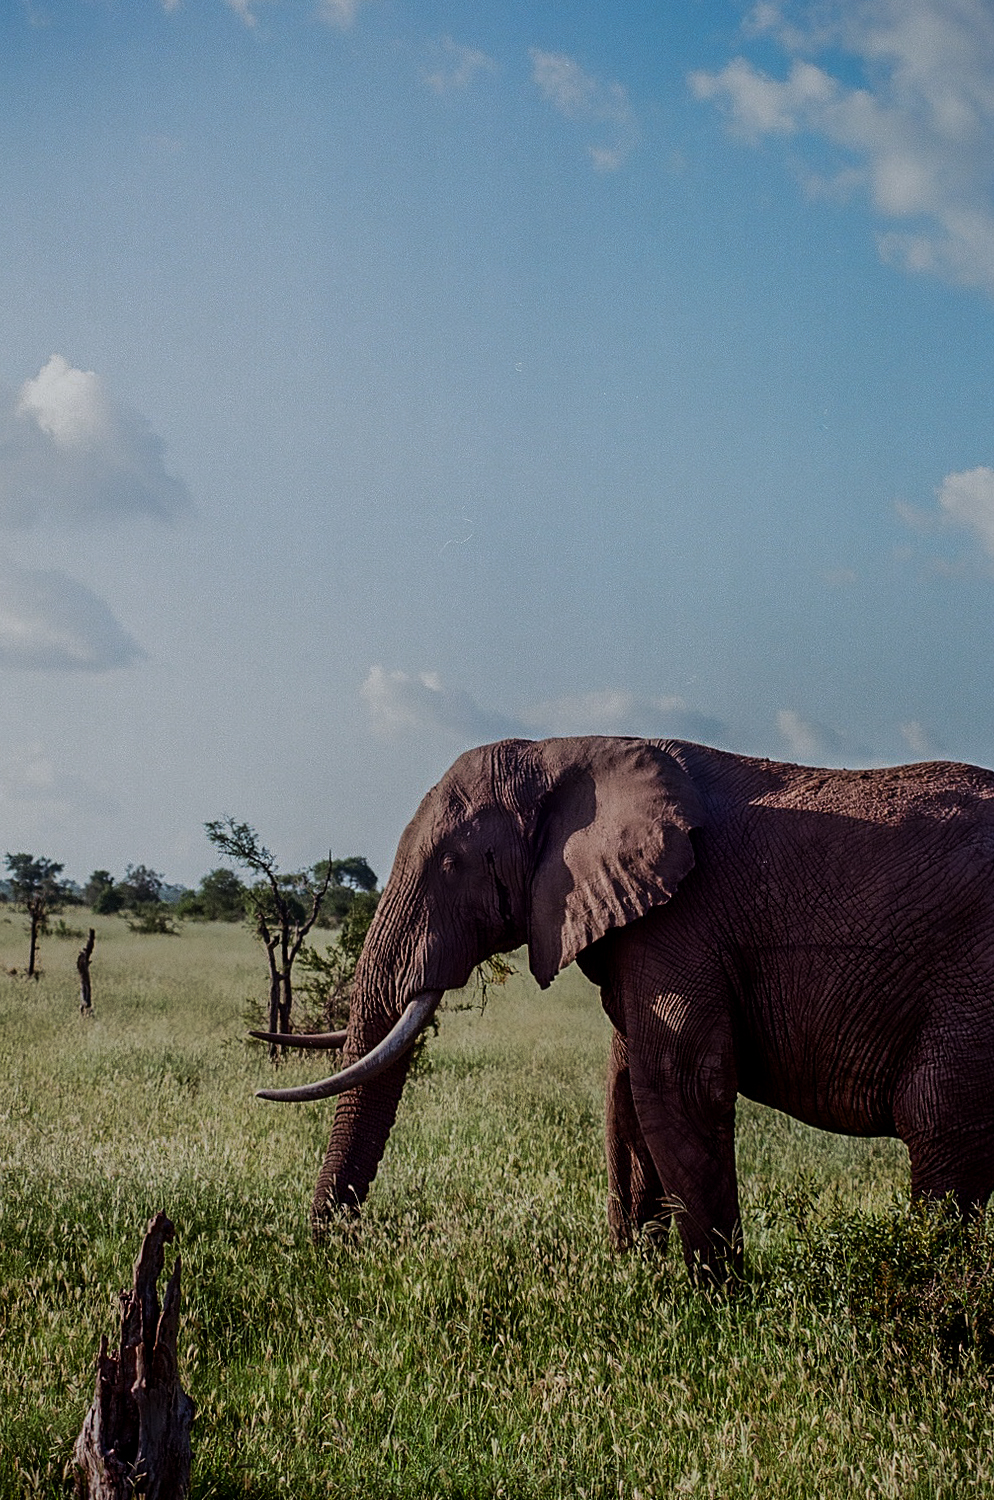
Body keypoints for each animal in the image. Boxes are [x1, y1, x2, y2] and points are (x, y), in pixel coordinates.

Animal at [256, 735, 994, 1281]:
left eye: (452, 864)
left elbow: (680, 1083)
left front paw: (716, 1304)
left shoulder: (683, 920)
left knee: (938, 1120)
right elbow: (625, 1089)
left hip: (972, 986)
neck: (565, 753)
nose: (339, 1252)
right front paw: (636, 1278)